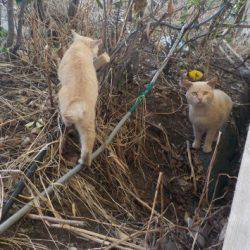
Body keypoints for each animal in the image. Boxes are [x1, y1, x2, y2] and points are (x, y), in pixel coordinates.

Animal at [58, 30, 102, 165]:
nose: (97, 54)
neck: (81, 45)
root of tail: (81, 103)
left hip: (62, 101)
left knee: (66, 122)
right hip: (88, 125)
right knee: (88, 144)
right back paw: (84, 161)